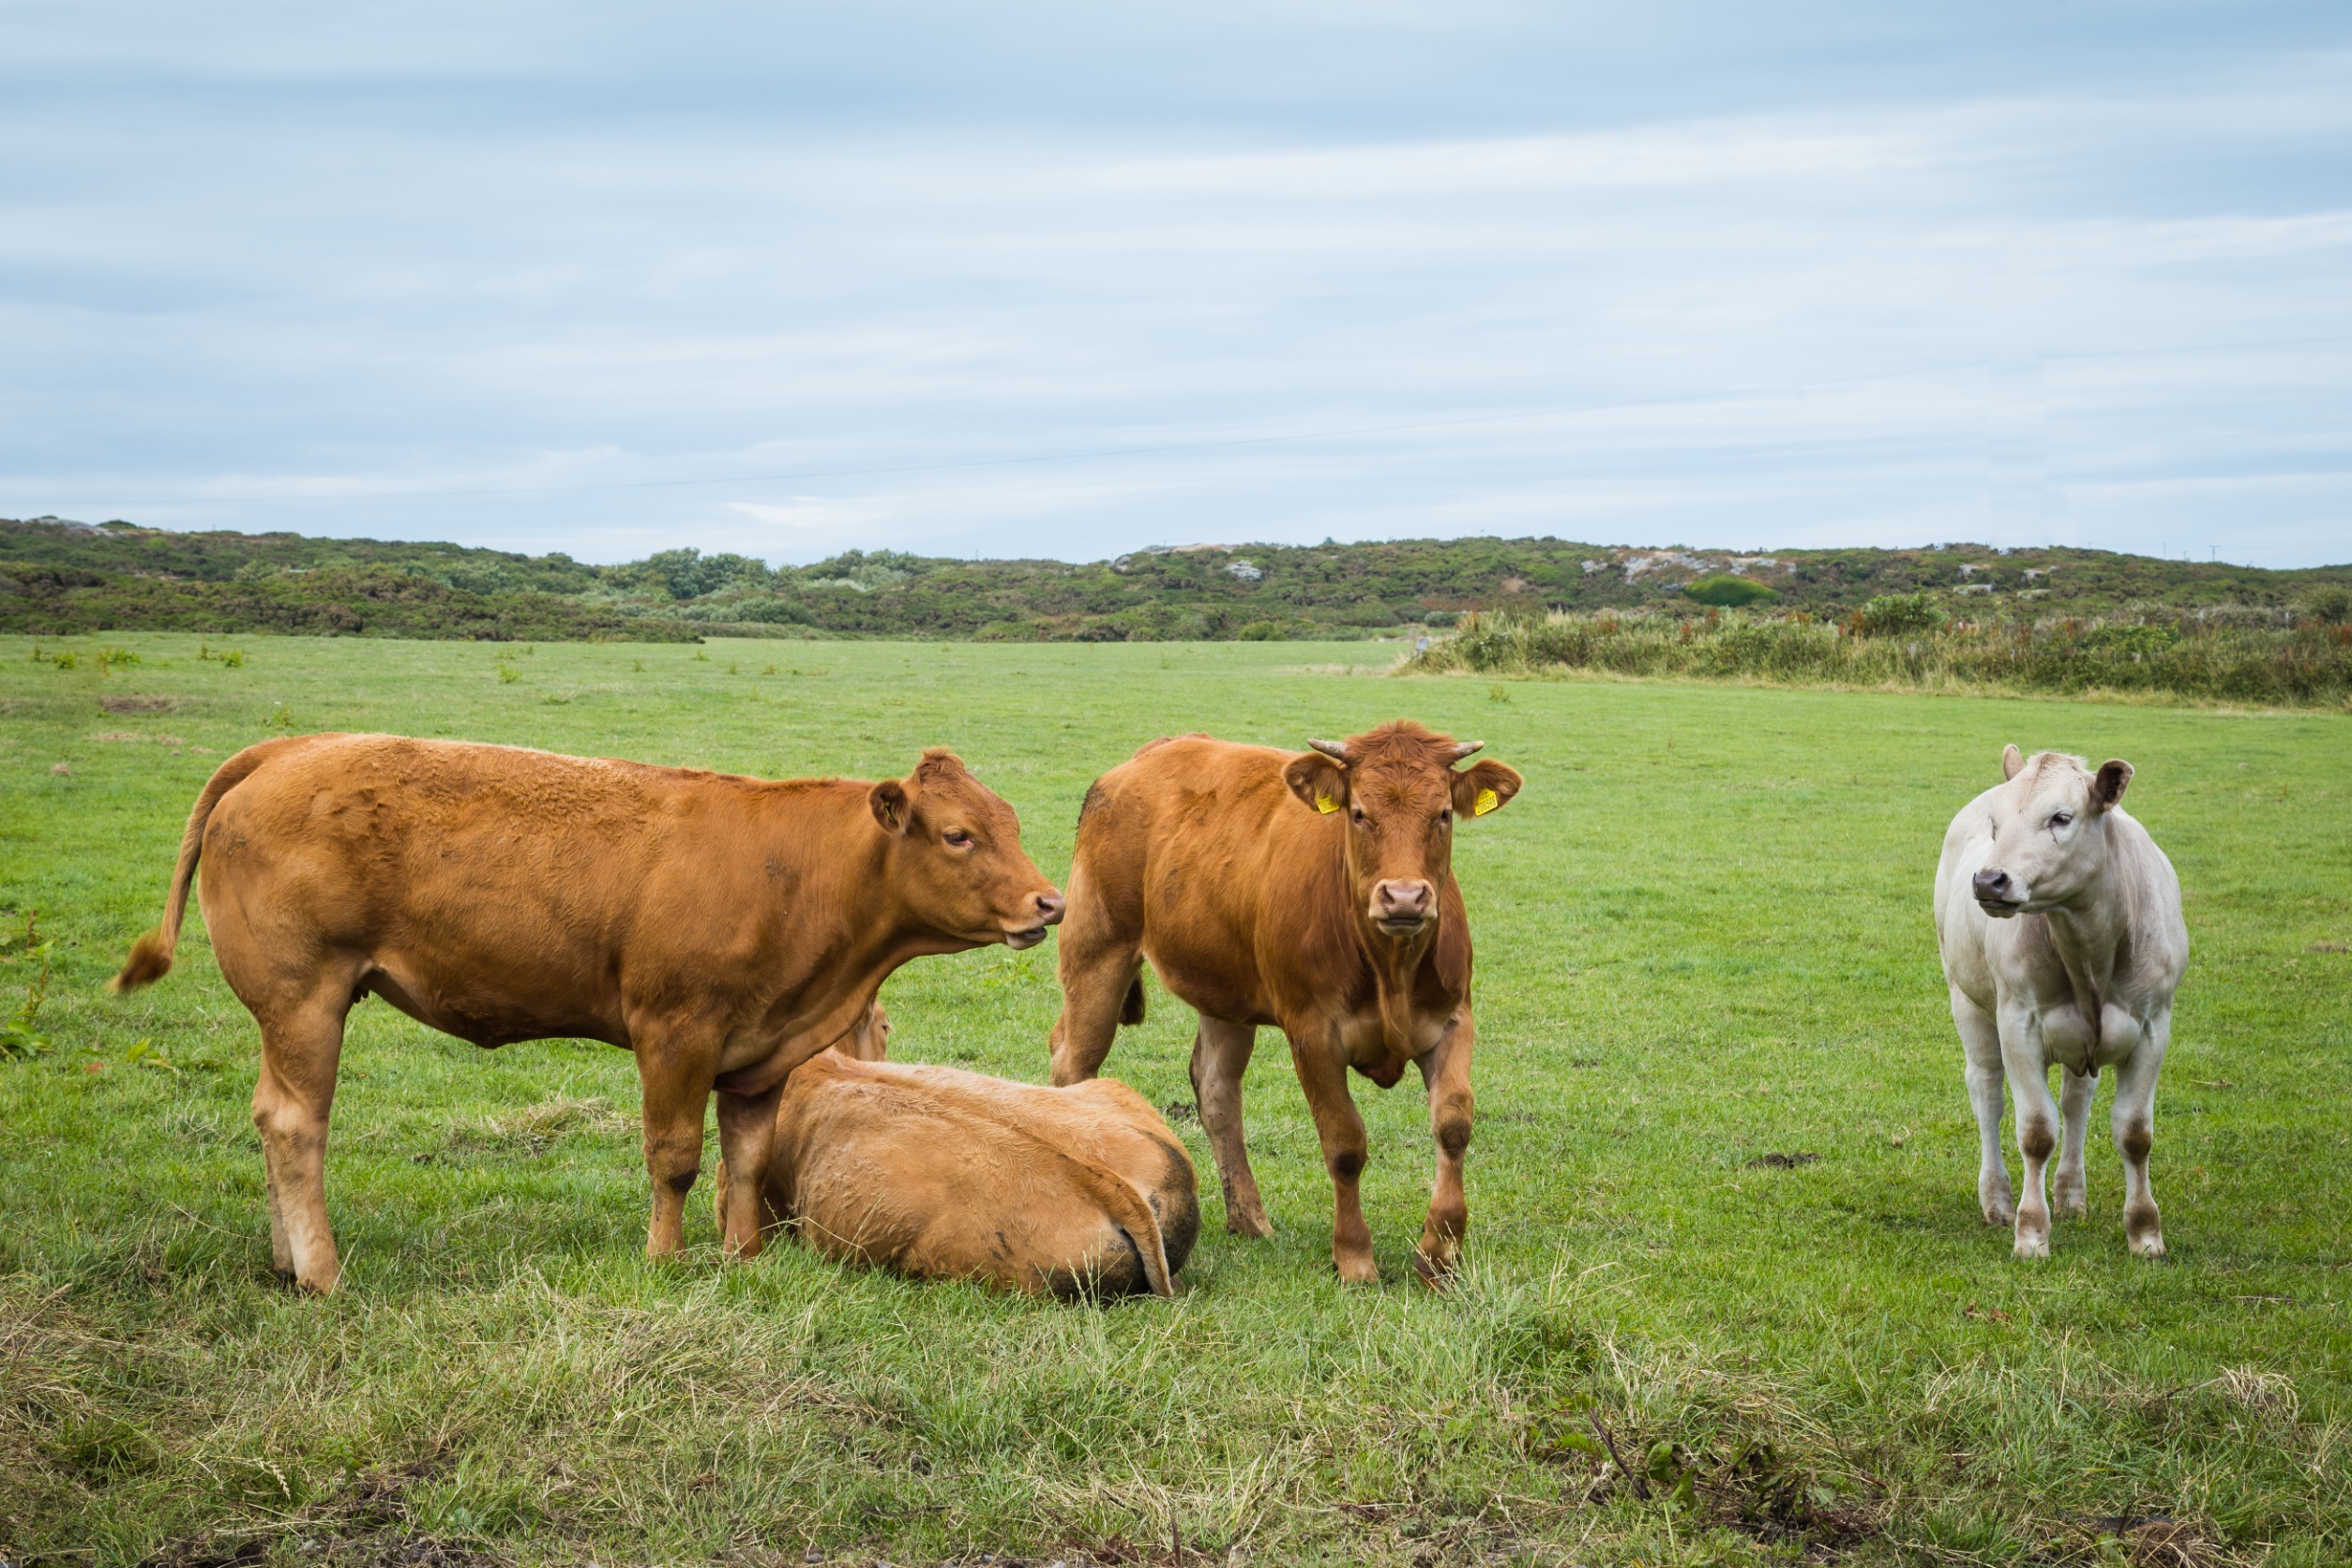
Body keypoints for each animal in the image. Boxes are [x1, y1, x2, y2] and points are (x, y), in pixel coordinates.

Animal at [112, 729, 1058, 1297]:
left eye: (1010, 822)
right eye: (959, 835)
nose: (1049, 904)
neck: (798, 874)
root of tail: (290, 747)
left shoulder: (761, 1055)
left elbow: (745, 1164)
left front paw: (744, 1261)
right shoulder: (674, 1032)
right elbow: (676, 1159)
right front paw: (665, 1261)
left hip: (287, 1012)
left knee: (270, 1118)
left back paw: (285, 1262)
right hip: (304, 999)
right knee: (296, 1125)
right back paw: (322, 1273)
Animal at [1048, 724, 1524, 1288]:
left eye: (1444, 813)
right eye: (1358, 812)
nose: (1405, 897)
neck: (1392, 970)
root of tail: (1157, 751)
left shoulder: (1454, 1021)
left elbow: (1452, 1125)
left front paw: (1439, 1253)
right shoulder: (1312, 1033)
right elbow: (1344, 1144)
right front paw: (1354, 1257)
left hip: (1223, 993)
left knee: (1216, 1091)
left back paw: (1249, 1219)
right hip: (1096, 953)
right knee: (1074, 1064)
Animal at [1928, 752, 2182, 1259]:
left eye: (2061, 817)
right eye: (1996, 823)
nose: (1989, 880)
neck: (2090, 953)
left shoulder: (2153, 1027)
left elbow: (2135, 1133)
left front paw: (2145, 1235)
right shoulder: (2018, 1023)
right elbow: (2036, 1131)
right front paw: (2030, 1233)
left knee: (2076, 1099)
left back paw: (2070, 1195)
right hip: (1966, 998)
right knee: (1987, 1092)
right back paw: (1998, 1201)